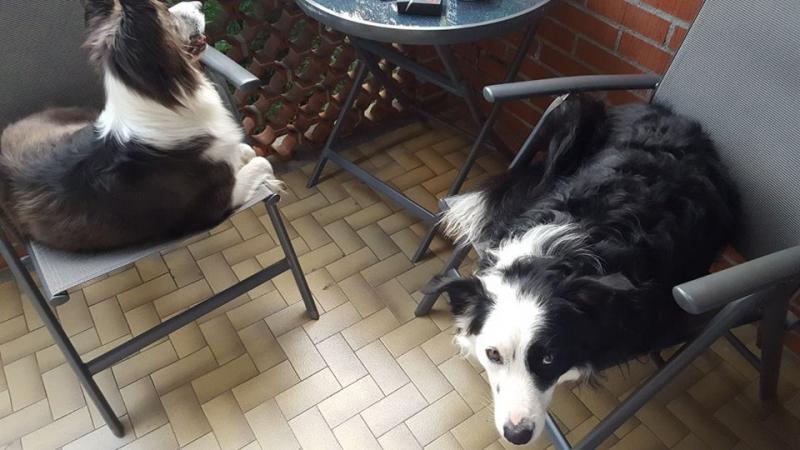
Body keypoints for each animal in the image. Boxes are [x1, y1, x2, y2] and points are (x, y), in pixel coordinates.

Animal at [0, 0, 279, 252]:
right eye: (165, 11)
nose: (200, 5)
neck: (163, 98)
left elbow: (244, 150)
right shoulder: (213, 204)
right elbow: (261, 162)